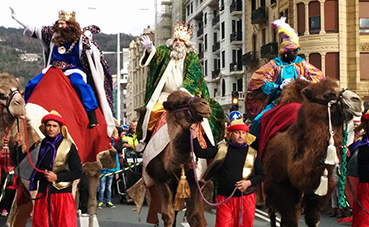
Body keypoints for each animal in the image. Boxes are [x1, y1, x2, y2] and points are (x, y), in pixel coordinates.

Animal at [144, 89, 211, 226]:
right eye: (182, 102)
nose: (205, 104)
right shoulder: (160, 179)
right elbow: (168, 215)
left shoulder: (194, 180)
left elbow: (194, 216)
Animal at [262, 78, 362, 227]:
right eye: (328, 94)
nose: (357, 100)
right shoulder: (281, 188)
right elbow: (290, 220)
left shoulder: (316, 192)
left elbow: (312, 219)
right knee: (272, 213)